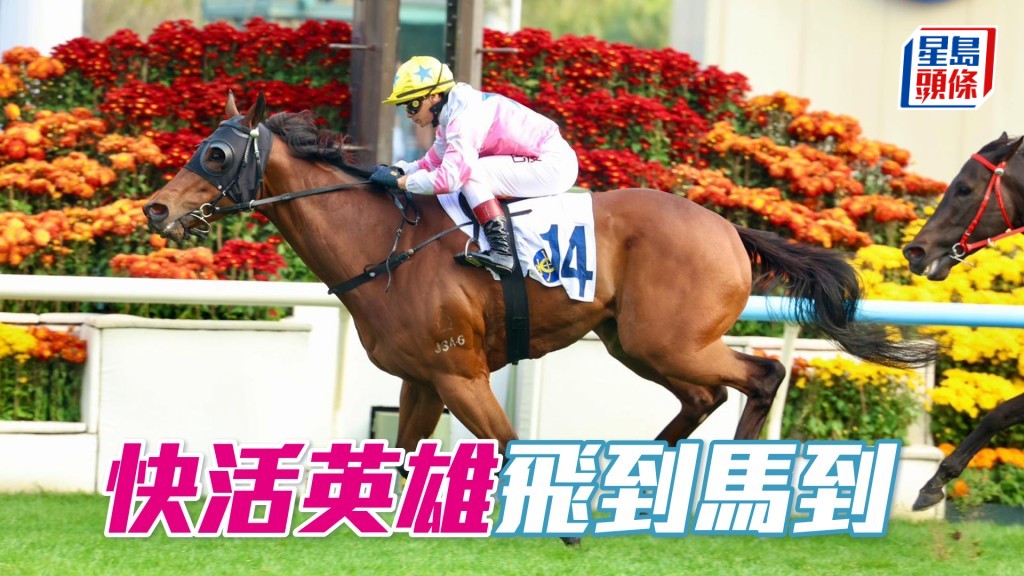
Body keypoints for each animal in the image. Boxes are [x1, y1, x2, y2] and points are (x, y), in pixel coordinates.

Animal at [144, 92, 936, 481]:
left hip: (667, 339)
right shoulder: (423, 378)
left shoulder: (460, 373)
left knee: (761, 375)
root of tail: (727, 228)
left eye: (216, 155)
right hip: (634, 343)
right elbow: (402, 461)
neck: (385, 246)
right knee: (704, 396)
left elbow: (508, 443)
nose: (155, 207)